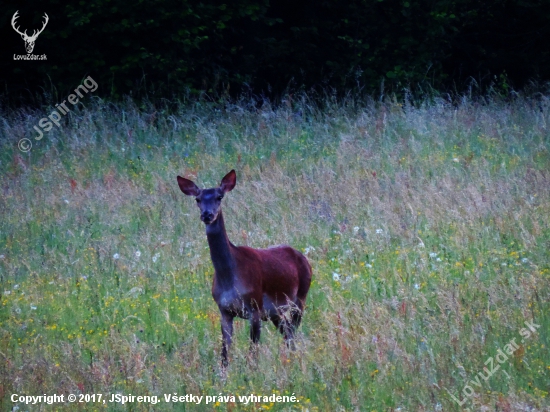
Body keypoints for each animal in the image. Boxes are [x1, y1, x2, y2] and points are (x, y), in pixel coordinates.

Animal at [179, 169, 312, 366]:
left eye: (219, 197)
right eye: (197, 199)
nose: (207, 215)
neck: (230, 279)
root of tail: (304, 258)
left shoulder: (254, 306)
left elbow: (253, 352)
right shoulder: (224, 310)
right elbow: (224, 354)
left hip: (300, 297)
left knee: (292, 333)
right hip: (276, 312)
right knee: (288, 334)